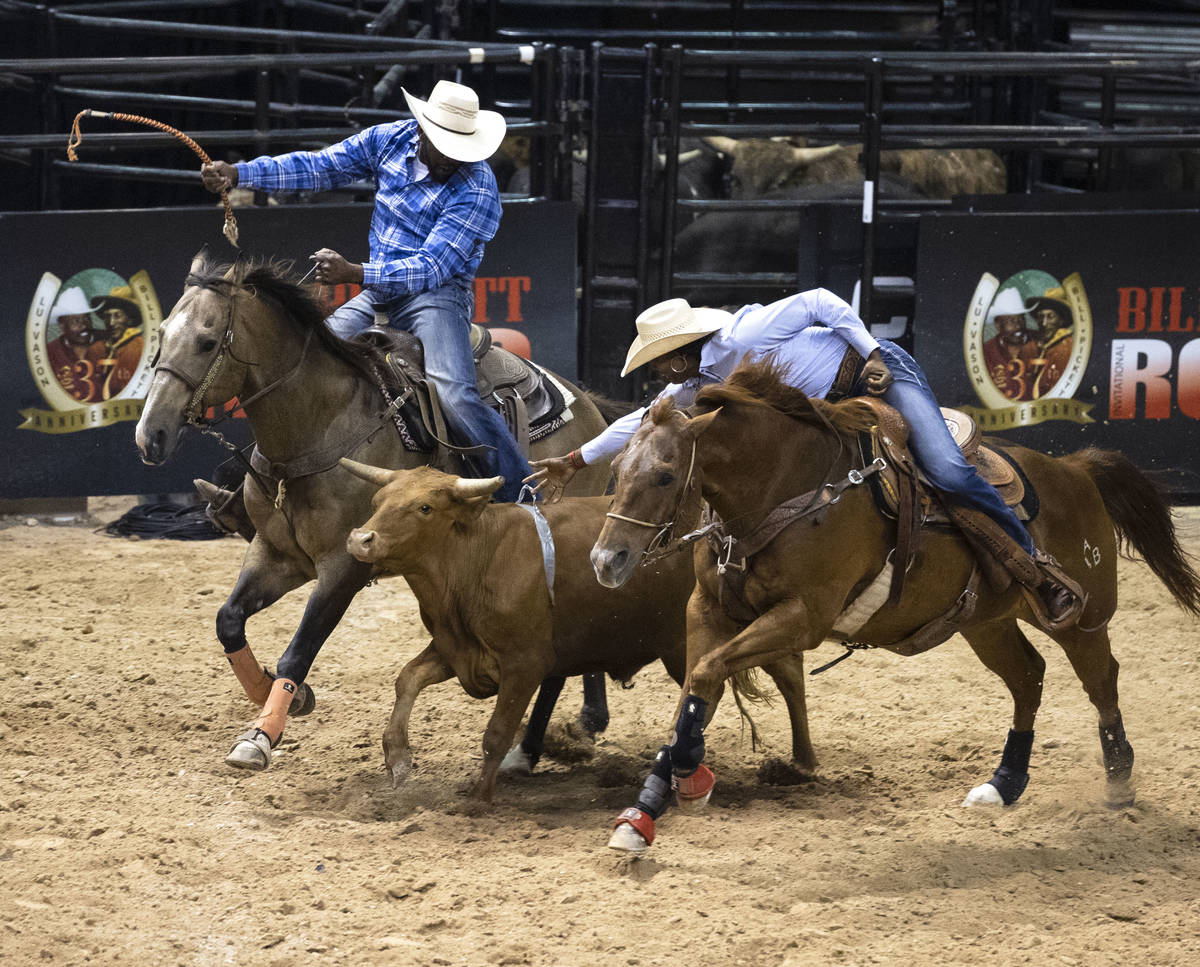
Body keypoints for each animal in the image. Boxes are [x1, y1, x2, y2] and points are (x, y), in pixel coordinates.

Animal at [135, 255, 614, 772]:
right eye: (161, 333)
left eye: (206, 341)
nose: (150, 435)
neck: (319, 427)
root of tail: (587, 404)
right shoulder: (278, 555)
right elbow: (228, 620)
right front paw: (284, 697)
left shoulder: (344, 566)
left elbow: (297, 651)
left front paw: (261, 735)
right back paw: (588, 719)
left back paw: (529, 751)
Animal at [592, 357, 1200, 854]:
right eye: (617, 471)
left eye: (665, 475)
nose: (606, 560)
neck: (786, 487)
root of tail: (1075, 468)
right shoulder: (707, 611)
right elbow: (698, 685)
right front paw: (648, 808)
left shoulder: (804, 618)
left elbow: (707, 674)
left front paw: (687, 779)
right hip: (986, 621)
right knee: (1029, 676)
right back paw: (1004, 784)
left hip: (1080, 617)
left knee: (1101, 678)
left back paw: (1118, 779)